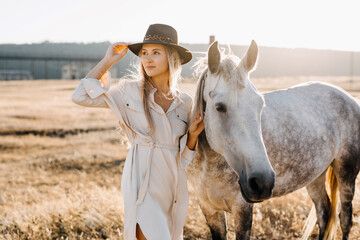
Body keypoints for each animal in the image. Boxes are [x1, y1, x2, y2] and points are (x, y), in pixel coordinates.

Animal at [186, 40, 360, 239]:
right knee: (323, 212)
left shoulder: (243, 208)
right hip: (316, 176)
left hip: (346, 173)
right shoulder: (209, 208)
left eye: (260, 104)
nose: (263, 182)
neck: (209, 164)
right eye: (220, 107)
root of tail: (349, 98)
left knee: (345, 219)